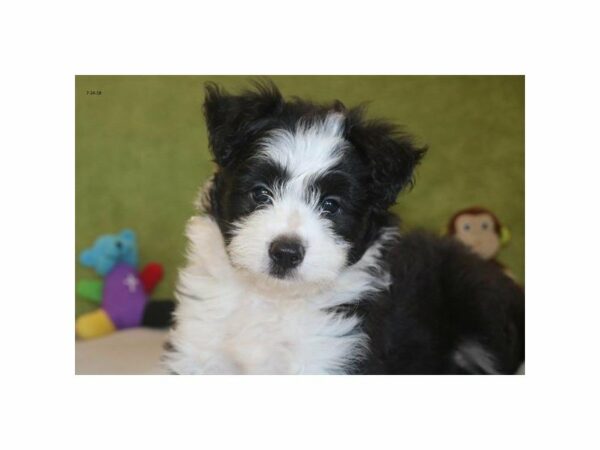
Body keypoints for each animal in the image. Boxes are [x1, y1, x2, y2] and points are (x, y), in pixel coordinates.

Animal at [164, 81, 524, 376]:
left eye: (331, 205)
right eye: (260, 193)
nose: (285, 252)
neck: (271, 299)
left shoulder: (333, 353)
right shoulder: (198, 346)